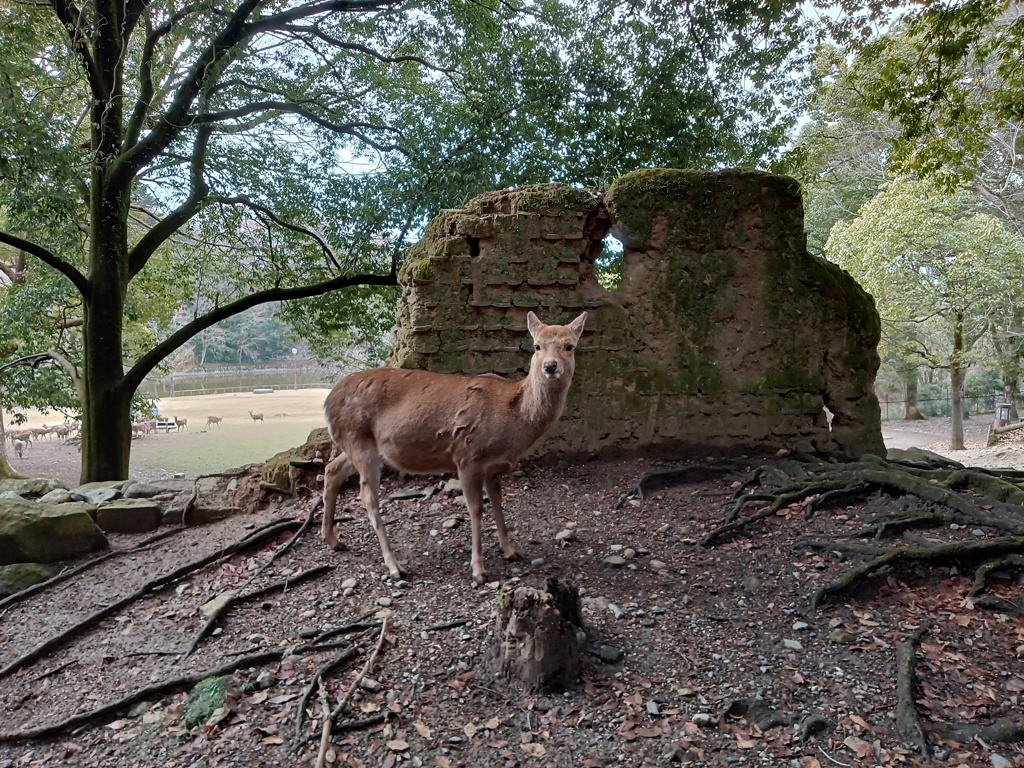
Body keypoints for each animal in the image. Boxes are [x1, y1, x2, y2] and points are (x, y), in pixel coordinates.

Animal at [319, 311, 593, 581]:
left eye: (570, 346)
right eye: (537, 346)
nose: (550, 366)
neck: (512, 419)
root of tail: (327, 402)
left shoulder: (493, 467)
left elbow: (498, 502)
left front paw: (510, 551)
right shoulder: (468, 456)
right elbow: (476, 509)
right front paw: (478, 570)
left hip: (357, 446)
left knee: (332, 469)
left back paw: (333, 540)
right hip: (359, 440)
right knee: (368, 498)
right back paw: (394, 566)